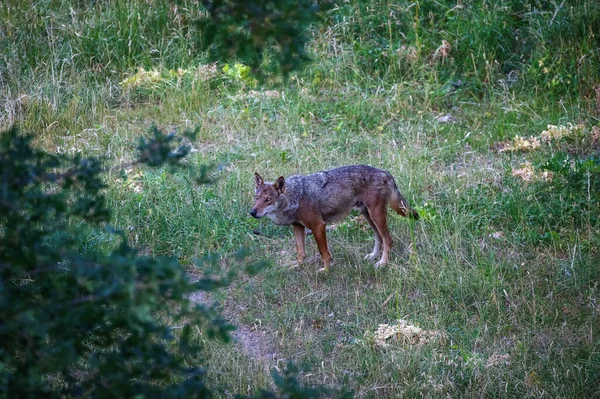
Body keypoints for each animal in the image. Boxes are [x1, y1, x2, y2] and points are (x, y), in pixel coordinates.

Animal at [250, 164, 418, 274]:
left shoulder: (318, 226)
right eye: (256, 198)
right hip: (368, 216)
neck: (294, 197)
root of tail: (384, 172)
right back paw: (373, 256)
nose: (252, 212)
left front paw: (326, 270)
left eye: (268, 200)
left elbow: (324, 253)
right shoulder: (298, 227)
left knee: (388, 239)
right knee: (379, 237)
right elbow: (300, 253)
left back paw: (382, 263)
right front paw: (298, 266)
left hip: (376, 216)